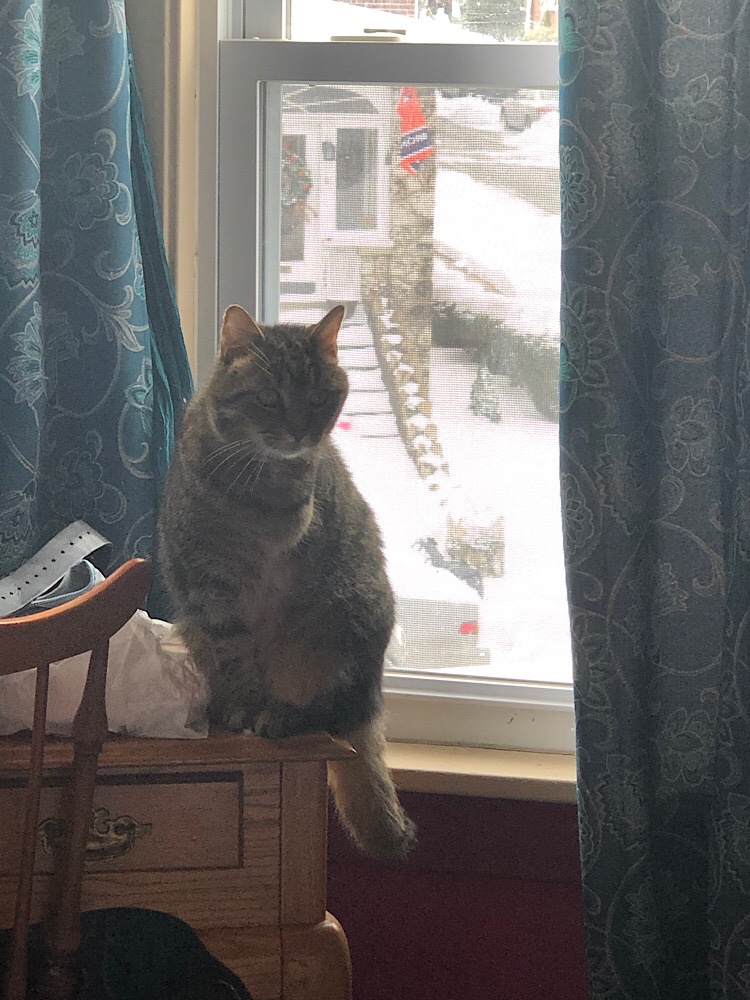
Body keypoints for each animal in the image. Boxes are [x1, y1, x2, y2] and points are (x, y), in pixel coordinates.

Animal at [158, 303, 417, 861]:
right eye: (268, 398)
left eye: (319, 398)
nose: (300, 433)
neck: (261, 484)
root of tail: (371, 696)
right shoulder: (212, 593)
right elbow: (236, 661)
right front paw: (241, 707)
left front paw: (261, 711)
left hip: (341, 621)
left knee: (327, 709)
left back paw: (285, 715)